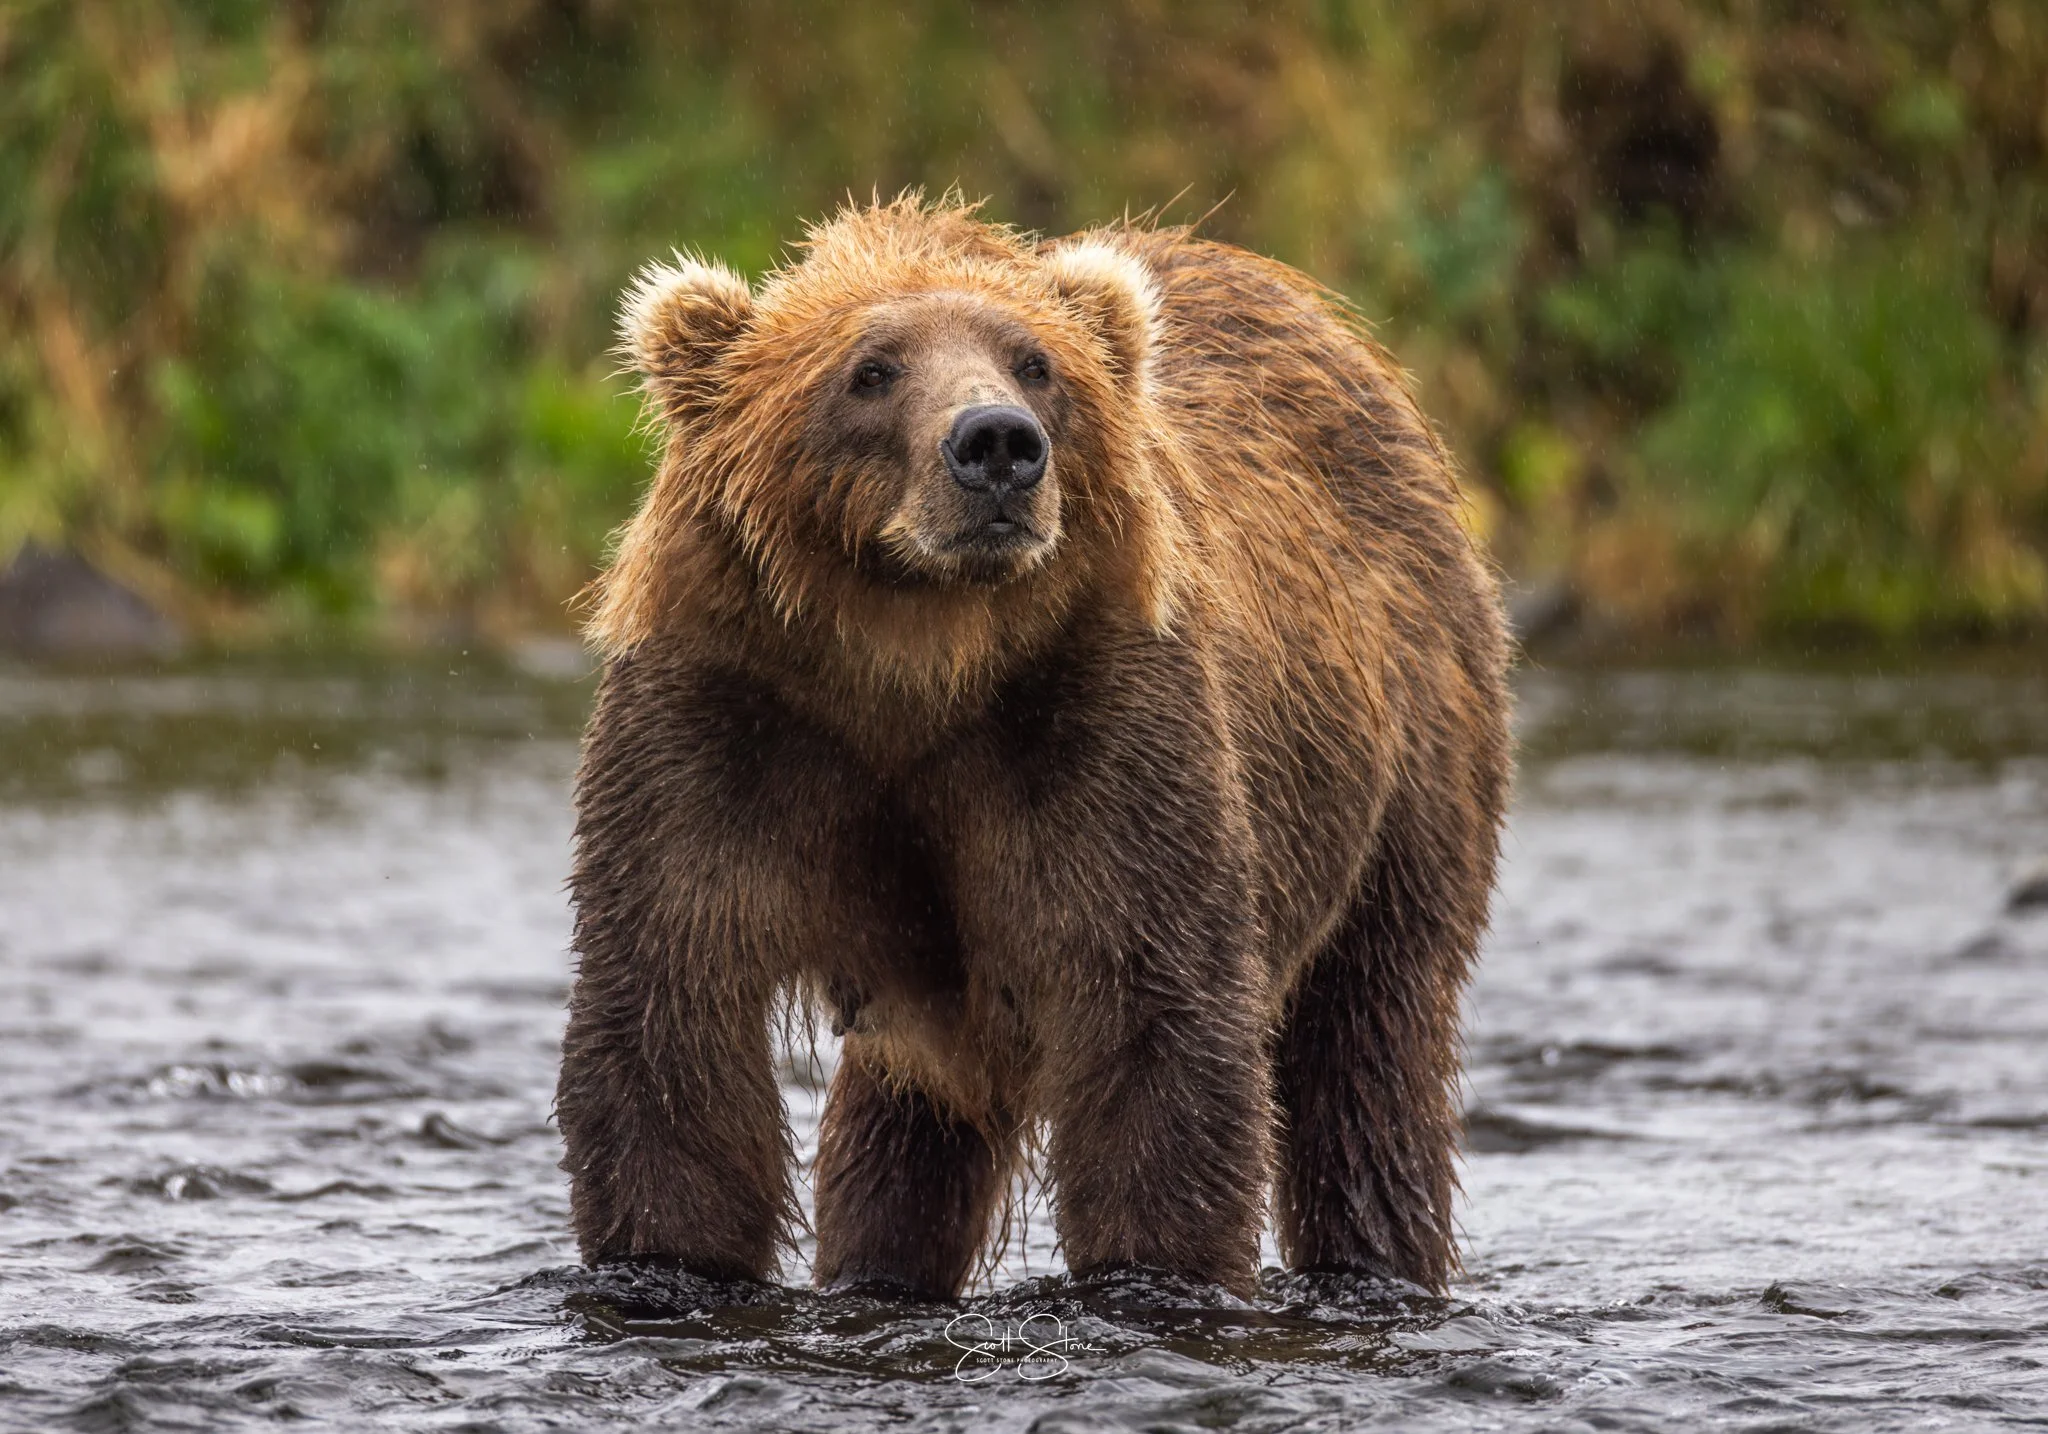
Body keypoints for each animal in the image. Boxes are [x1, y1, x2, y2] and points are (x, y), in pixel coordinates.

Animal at [555, 196, 1511, 1300]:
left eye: (1035, 364)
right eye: (870, 369)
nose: (997, 442)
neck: (913, 657)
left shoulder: (1093, 728)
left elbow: (1157, 1031)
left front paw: (1153, 1270)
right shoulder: (727, 721)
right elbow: (670, 1022)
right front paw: (668, 1260)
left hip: (1407, 761)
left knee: (1367, 1047)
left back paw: (1376, 1256)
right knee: (901, 1125)